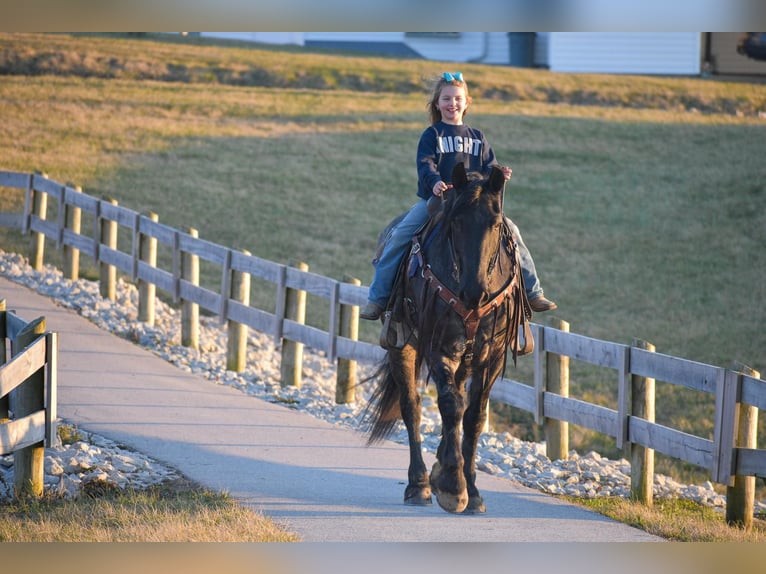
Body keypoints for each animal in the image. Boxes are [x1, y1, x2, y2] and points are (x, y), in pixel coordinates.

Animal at [366, 164, 536, 516]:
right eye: (456, 221)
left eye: (496, 223)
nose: (475, 292)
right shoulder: (437, 346)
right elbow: (449, 406)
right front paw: (452, 486)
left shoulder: (492, 355)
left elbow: (473, 417)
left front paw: (471, 489)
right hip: (403, 345)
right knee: (412, 406)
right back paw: (419, 484)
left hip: (466, 357)